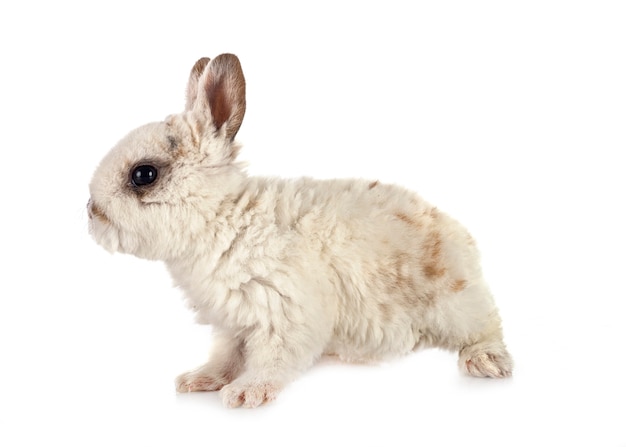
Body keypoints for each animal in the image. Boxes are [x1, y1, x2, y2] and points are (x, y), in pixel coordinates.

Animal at [88, 53, 512, 410]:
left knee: (486, 327)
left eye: (144, 174)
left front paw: (246, 393)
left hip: (457, 306)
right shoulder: (231, 324)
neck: (223, 220)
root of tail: (461, 238)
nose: (91, 211)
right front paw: (199, 380)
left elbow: (272, 359)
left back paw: (487, 362)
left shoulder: (285, 311)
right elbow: (225, 358)